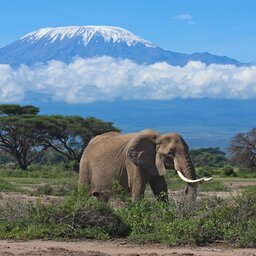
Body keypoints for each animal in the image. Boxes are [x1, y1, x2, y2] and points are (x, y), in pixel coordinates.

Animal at [78, 129, 212, 201]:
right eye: (170, 153)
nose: (185, 190)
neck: (158, 138)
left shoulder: (154, 162)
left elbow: (160, 187)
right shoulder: (131, 163)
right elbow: (137, 188)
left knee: (102, 198)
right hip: (85, 165)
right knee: (83, 194)